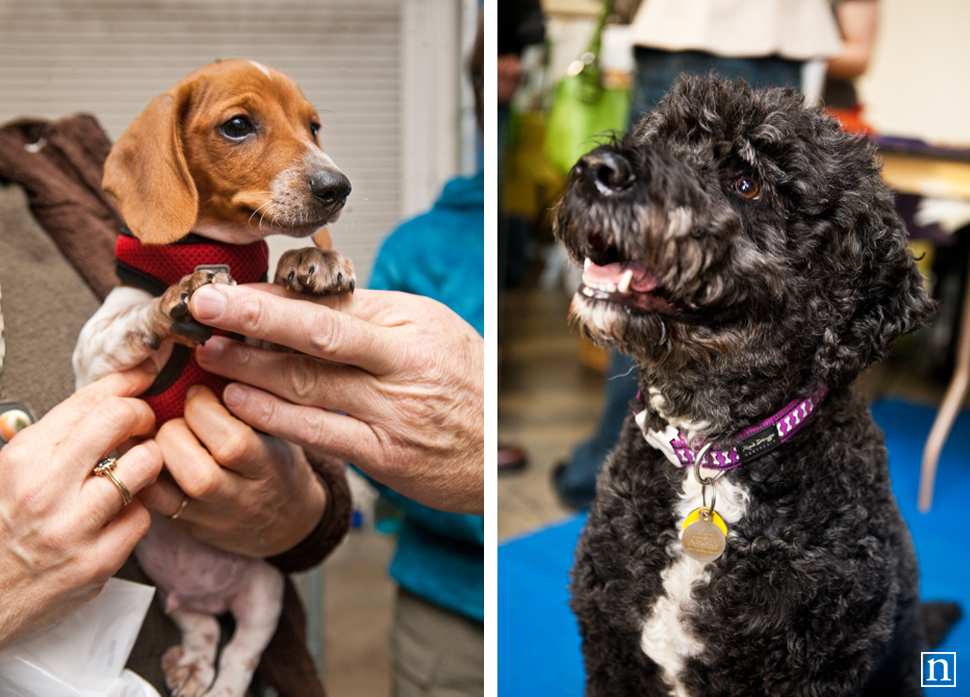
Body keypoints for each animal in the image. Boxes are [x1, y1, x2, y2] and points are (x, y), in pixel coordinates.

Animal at [74, 61, 356, 696]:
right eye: (237, 125)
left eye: (313, 126)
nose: (337, 187)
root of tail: (211, 593)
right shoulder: (92, 359)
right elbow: (132, 320)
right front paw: (172, 302)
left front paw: (311, 261)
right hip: (175, 598)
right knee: (203, 631)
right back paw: (190, 665)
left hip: (265, 592)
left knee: (240, 656)